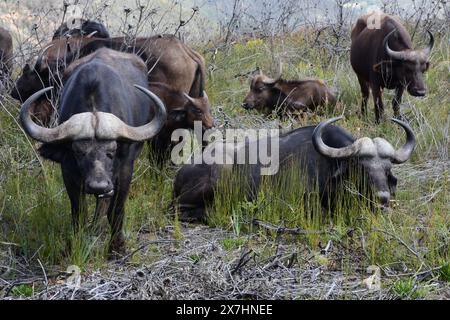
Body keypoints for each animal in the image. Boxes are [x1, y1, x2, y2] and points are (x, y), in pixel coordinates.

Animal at [18, 48, 167, 256]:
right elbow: (79, 212)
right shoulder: (68, 172)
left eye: (112, 151)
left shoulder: (124, 170)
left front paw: (117, 246)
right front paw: (75, 245)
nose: (98, 185)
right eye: (78, 152)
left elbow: (116, 209)